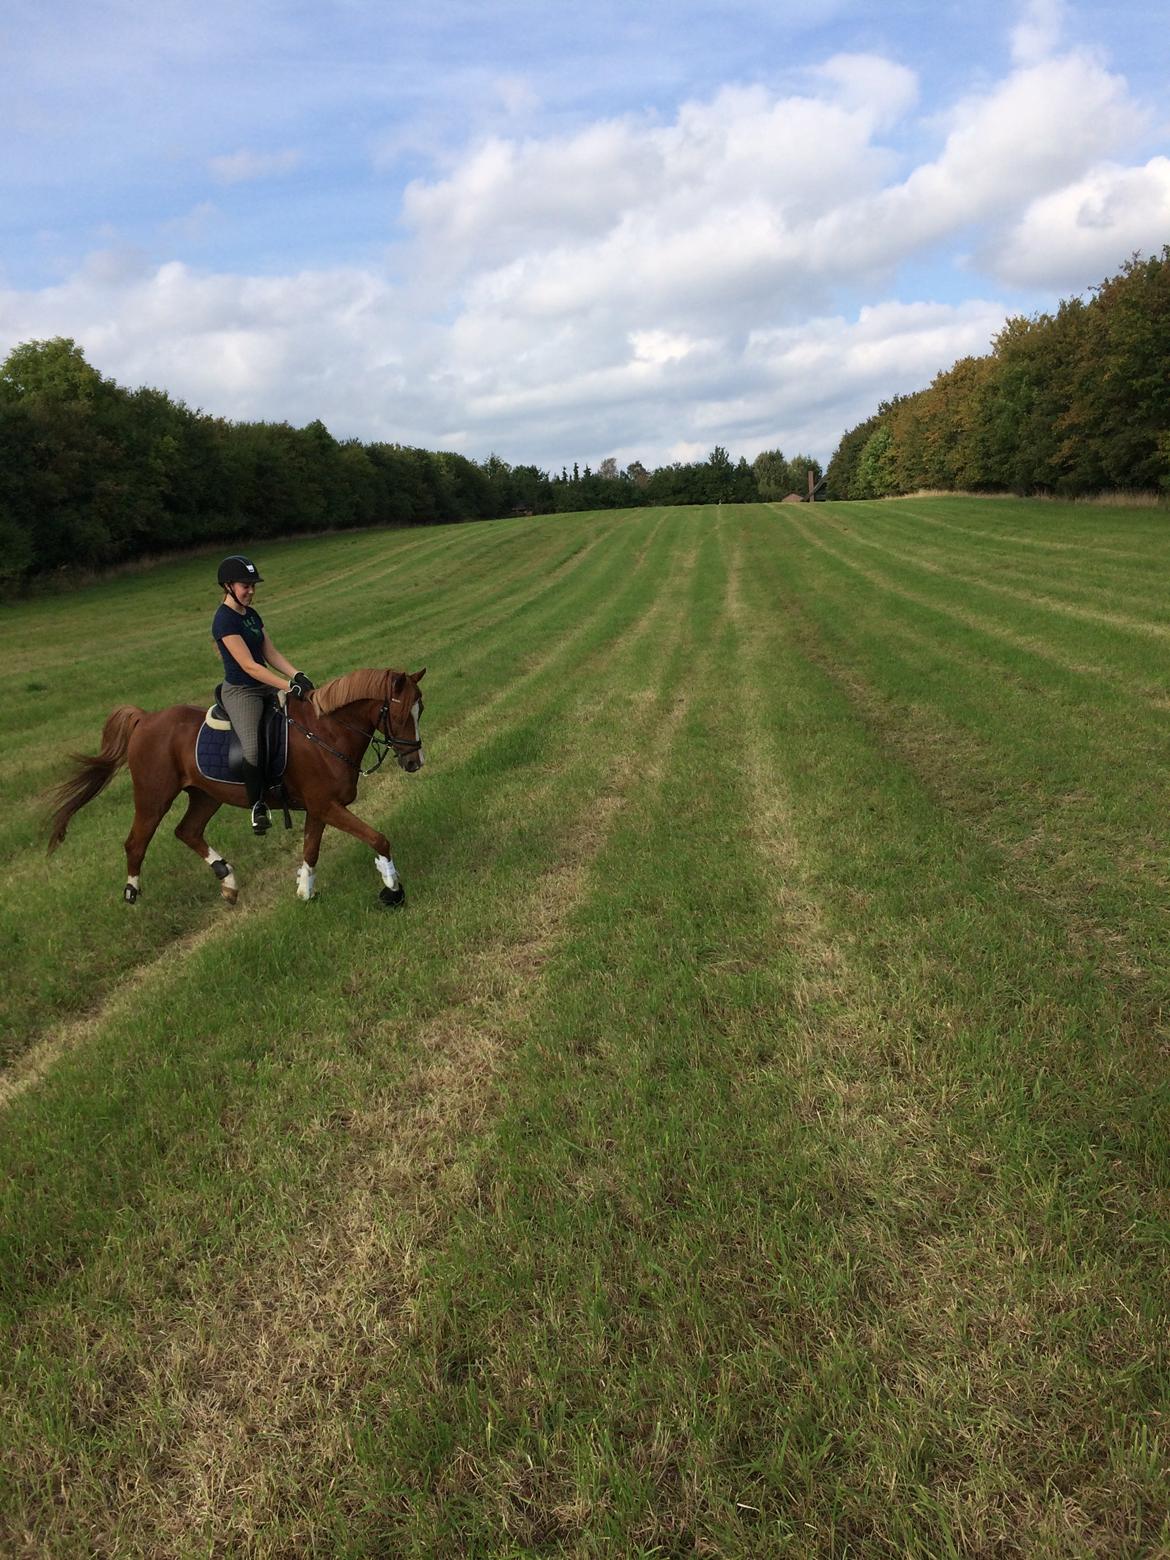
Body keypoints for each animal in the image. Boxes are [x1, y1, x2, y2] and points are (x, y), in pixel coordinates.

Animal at [49, 667, 430, 911]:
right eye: (400, 715)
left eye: (421, 709)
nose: (415, 761)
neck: (325, 733)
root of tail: (146, 718)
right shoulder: (326, 805)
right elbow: (377, 839)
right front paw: (393, 891)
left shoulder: (319, 807)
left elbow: (311, 849)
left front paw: (305, 891)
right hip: (153, 796)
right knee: (136, 842)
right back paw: (132, 892)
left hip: (206, 795)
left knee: (187, 831)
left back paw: (227, 879)